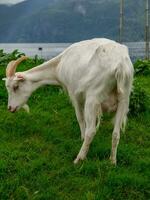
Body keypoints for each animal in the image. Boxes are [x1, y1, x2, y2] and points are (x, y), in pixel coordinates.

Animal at [2, 38, 134, 164]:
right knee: (116, 133)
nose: (10, 108)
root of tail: (120, 65)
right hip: (124, 99)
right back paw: (112, 161)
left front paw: (81, 138)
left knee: (91, 131)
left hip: (93, 98)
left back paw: (79, 158)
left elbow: (80, 118)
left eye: (15, 87)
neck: (59, 64)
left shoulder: (74, 94)